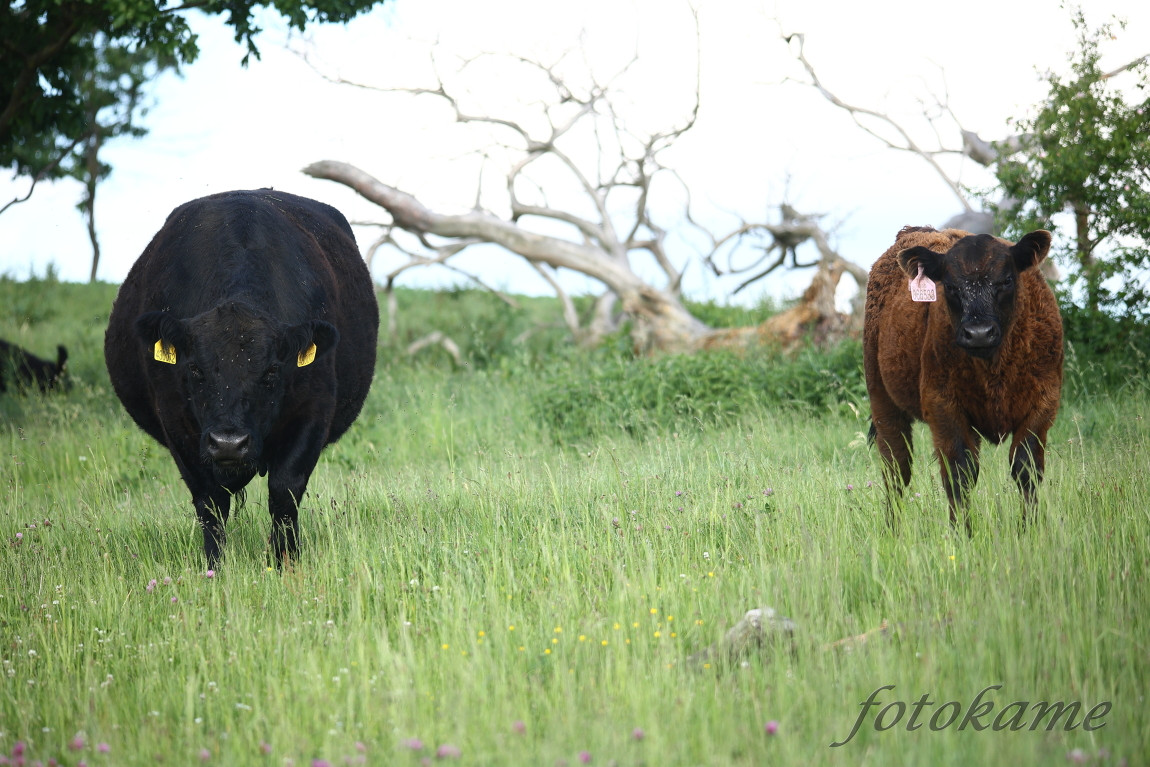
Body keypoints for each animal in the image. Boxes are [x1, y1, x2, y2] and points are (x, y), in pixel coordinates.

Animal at [105, 188, 379, 568]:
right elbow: (210, 502)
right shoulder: (176, 420)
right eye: (195, 369)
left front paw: (286, 563)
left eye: (272, 371)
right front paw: (214, 569)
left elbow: (285, 491)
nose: (229, 443)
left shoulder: (314, 411)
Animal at [864, 225, 1058, 531]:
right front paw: (962, 534)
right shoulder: (942, 406)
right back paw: (892, 530)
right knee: (896, 469)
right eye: (951, 286)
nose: (979, 333)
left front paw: (1030, 529)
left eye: (1006, 280)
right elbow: (959, 473)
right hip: (883, 401)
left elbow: (1025, 467)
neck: (994, 367)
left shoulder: (1044, 401)